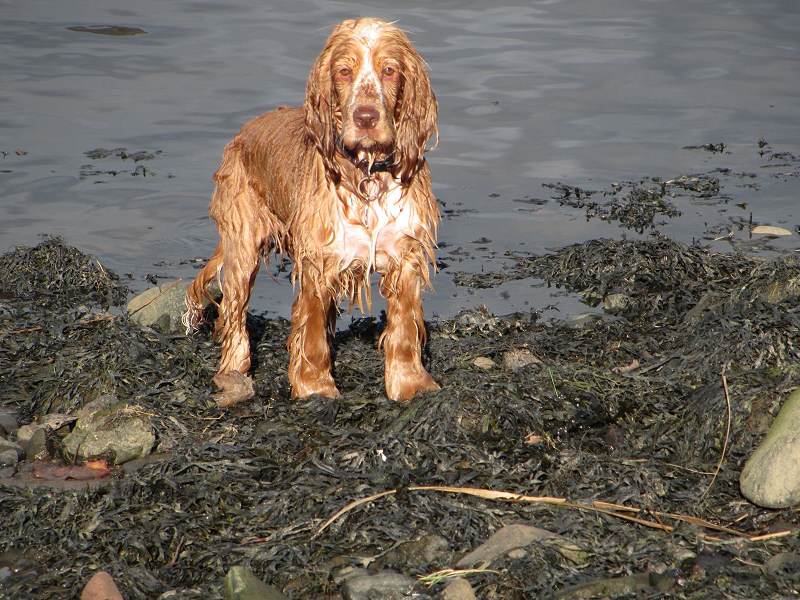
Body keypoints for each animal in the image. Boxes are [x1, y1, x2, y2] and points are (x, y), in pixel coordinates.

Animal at [184, 17, 440, 404]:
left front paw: (411, 385)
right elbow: (313, 331)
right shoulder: (320, 260)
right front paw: (315, 387)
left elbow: (404, 331)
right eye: (344, 71)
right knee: (234, 311)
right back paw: (233, 372)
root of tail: (245, 131)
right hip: (242, 246)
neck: (367, 176)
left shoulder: (404, 255)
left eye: (390, 70)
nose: (366, 117)